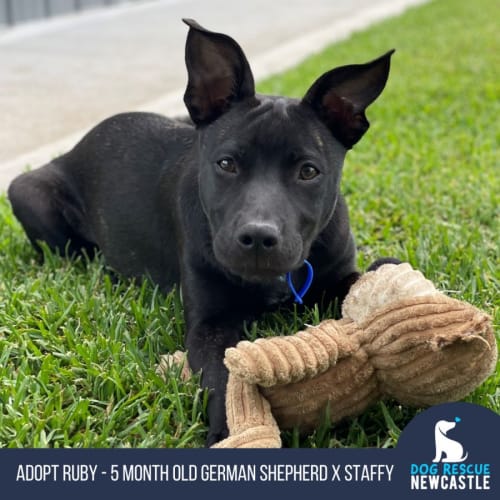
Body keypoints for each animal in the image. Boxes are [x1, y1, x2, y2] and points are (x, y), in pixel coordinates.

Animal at [7, 19, 396, 446]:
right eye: (226, 164)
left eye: (308, 171)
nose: (258, 238)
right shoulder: (210, 324)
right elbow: (224, 377)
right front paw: (234, 431)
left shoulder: (338, 273)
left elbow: (367, 285)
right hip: (27, 191)